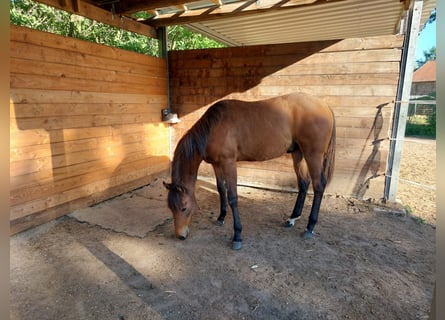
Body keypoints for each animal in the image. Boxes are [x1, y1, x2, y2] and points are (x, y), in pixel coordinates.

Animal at [165, 92, 334, 250]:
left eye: (183, 207)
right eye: (170, 208)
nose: (180, 235)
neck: (213, 127)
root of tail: (325, 105)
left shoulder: (228, 163)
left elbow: (232, 197)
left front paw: (237, 236)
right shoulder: (217, 164)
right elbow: (221, 189)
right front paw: (221, 217)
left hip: (313, 155)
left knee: (319, 185)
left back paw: (310, 227)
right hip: (298, 153)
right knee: (303, 183)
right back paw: (292, 218)